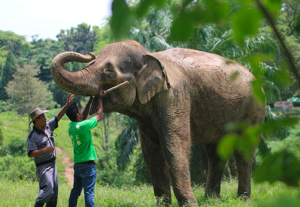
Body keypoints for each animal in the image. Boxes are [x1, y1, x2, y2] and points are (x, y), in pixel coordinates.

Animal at [51, 39, 264, 206]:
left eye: (109, 71)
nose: (89, 53)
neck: (150, 55)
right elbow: (150, 150)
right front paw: (164, 204)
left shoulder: (175, 95)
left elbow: (175, 145)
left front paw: (190, 204)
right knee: (215, 151)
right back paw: (212, 200)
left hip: (253, 110)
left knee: (244, 151)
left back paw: (242, 200)